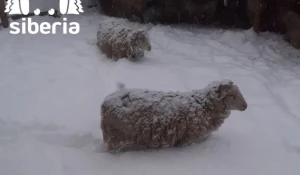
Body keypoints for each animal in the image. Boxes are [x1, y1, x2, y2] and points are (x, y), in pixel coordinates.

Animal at [99, 79, 247, 152]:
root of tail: (104, 104)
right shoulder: (186, 139)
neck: (205, 106)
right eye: (232, 95)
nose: (246, 106)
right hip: (115, 136)